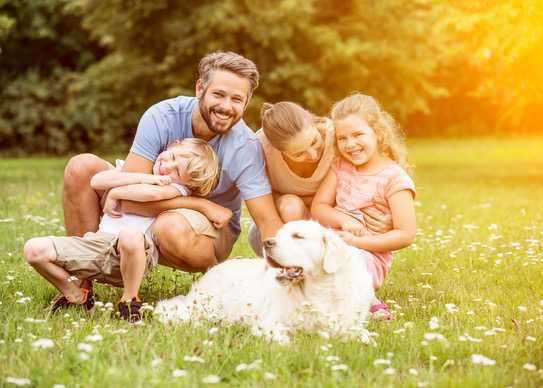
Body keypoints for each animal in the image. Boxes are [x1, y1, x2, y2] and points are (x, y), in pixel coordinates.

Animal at [153, 220, 374, 344]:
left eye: (298, 236)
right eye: (279, 234)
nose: (267, 242)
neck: (318, 291)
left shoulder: (349, 325)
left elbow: (365, 338)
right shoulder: (270, 323)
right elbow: (285, 340)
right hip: (206, 306)